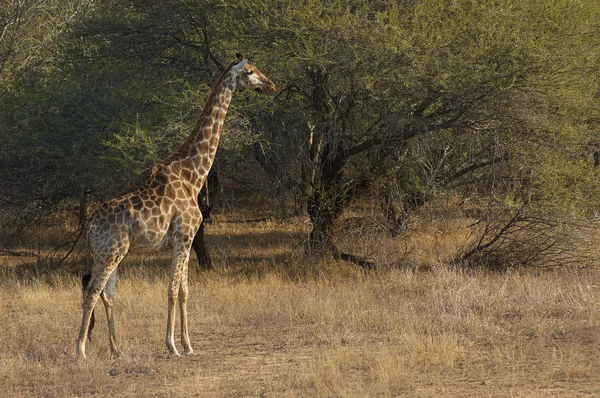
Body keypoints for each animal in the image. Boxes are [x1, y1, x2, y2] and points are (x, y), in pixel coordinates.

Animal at [75, 54, 278, 360]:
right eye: (250, 72)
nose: (271, 85)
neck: (193, 176)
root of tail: (89, 226)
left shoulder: (186, 240)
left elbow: (184, 291)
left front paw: (188, 344)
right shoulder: (184, 237)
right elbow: (172, 290)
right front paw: (172, 346)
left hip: (114, 254)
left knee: (106, 294)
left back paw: (117, 349)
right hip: (109, 252)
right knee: (91, 292)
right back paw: (80, 351)